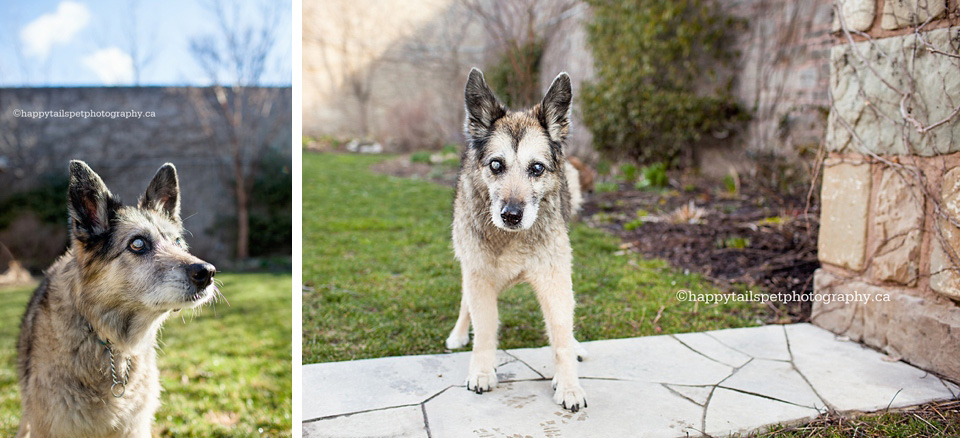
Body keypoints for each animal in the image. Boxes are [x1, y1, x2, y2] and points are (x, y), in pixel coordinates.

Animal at [442, 67, 584, 410]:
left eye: (537, 168)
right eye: (496, 164)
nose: (511, 215)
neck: (512, 239)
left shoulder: (555, 278)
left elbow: (561, 332)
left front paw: (569, 385)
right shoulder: (478, 276)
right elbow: (484, 329)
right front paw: (481, 371)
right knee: (466, 303)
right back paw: (458, 335)